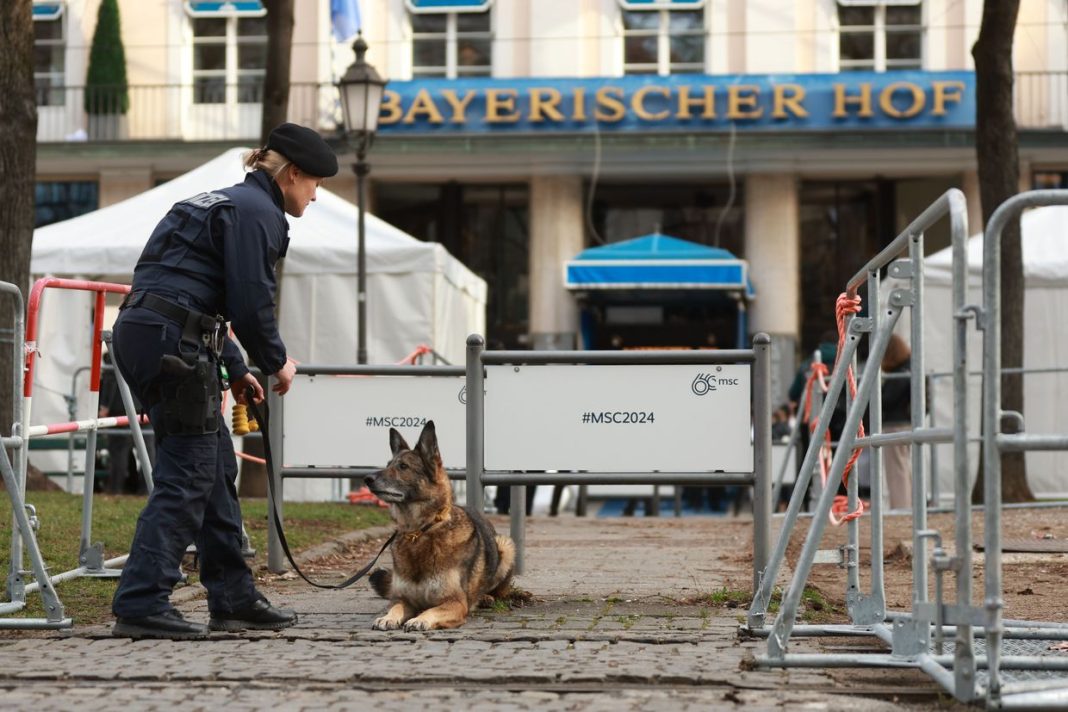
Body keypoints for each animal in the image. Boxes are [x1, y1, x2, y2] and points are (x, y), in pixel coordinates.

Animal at [365, 420, 514, 631]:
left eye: (403, 466)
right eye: (388, 465)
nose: (367, 479)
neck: (419, 532)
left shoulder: (455, 603)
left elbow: (431, 610)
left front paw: (419, 619)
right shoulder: (402, 599)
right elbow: (395, 607)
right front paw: (387, 617)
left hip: (506, 546)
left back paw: (485, 597)